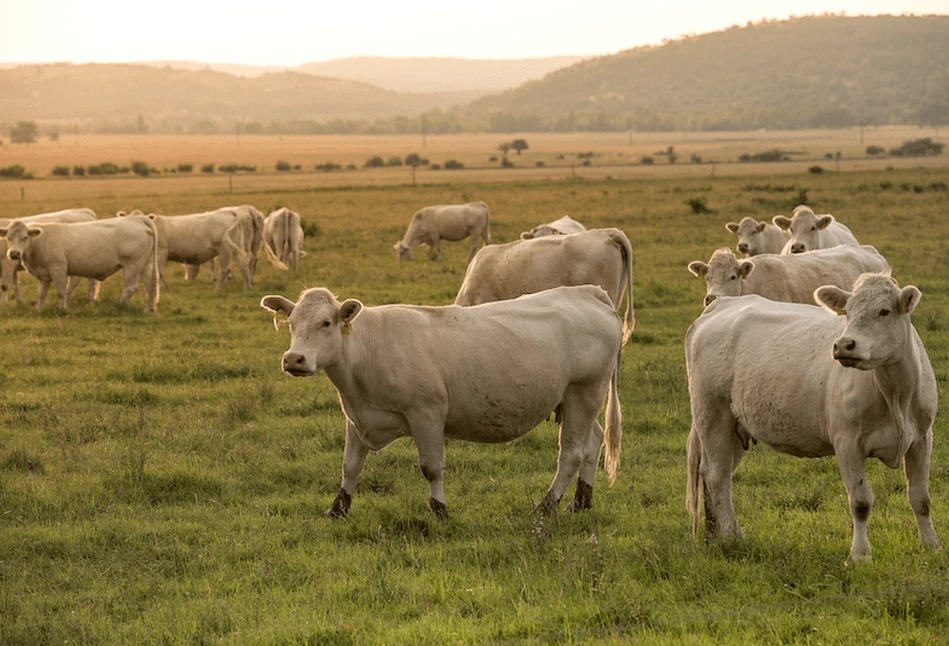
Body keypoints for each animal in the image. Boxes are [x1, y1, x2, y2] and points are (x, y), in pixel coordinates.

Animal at [0, 215, 159, 312]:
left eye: (25, 237)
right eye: (8, 237)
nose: (14, 253)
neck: (40, 241)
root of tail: (137, 219)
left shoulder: (58, 268)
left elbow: (61, 291)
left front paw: (63, 309)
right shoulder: (43, 274)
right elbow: (41, 293)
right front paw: (39, 309)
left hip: (132, 265)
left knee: (130, 287)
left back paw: (119, 305)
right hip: (145, 264)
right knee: (150, 286)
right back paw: (148, 309)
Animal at [262, 286, 624, 520]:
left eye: (326, 323)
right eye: (291, 323)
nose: (294, 359)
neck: (368, 349)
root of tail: (587, 292)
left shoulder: (426, 414)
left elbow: (431, 468)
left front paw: (440, 511)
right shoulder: (358, 417)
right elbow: (350, 466)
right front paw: (337, 508)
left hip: (583, 392)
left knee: (571, 453)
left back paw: (546, 507)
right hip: (577, 400)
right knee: (592, 443)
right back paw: (580, 502)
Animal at [680, 276, 940, 564]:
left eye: (884, 311)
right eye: (847, 312)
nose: (844, 344)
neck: (896, 395)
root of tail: (721, 304)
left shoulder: (922, 438)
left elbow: (920, 498)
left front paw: (932, 545)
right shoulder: (847, 442)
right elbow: (860, 502)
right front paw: (860, 554)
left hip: (734, 429)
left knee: (715, 473)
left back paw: (715, 535)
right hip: (713, 415)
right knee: (717, 475)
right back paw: (731, 537)